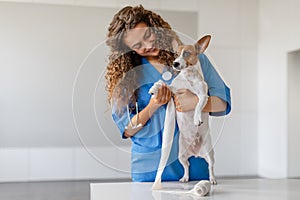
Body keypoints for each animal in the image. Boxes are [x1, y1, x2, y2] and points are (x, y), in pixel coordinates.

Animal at [150, 35, 216, 190]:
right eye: (175, 54)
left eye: (186, 53)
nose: (175, 63)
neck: (188, 77)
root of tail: (196, 153)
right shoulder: (174, 89)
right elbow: (163, 84)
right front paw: (155, 88)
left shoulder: (203, 96)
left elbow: (198, 105)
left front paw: (197, 118)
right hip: (181, 156)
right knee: (187, 166)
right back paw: (185, 178)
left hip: (209, 152)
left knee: (210, 167)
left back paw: (212, 179)